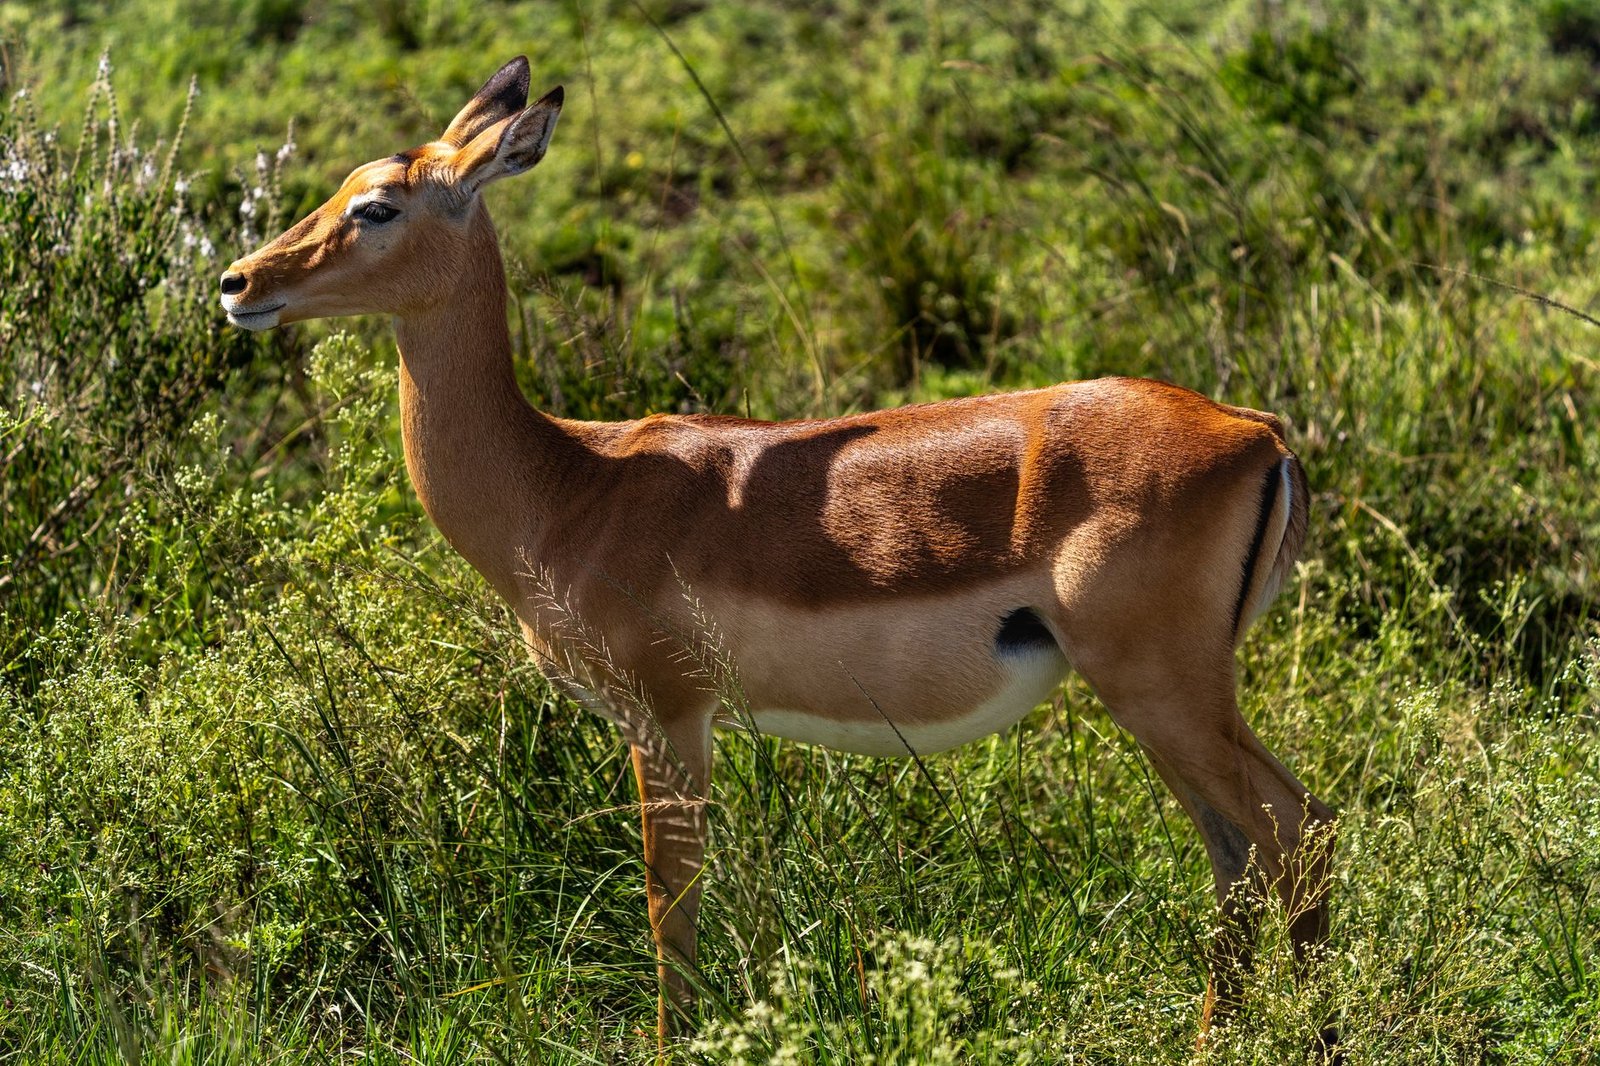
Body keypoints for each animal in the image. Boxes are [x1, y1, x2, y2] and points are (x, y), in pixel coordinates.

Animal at [221, 56, 1335, 1051]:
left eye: (377, 206)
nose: (239, 284)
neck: (568, 483)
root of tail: (1256, 433)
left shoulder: (669, 717)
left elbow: (669, 907)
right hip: (1165, 705)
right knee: (1241, 855)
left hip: (1161, 690)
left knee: (1298, 828)